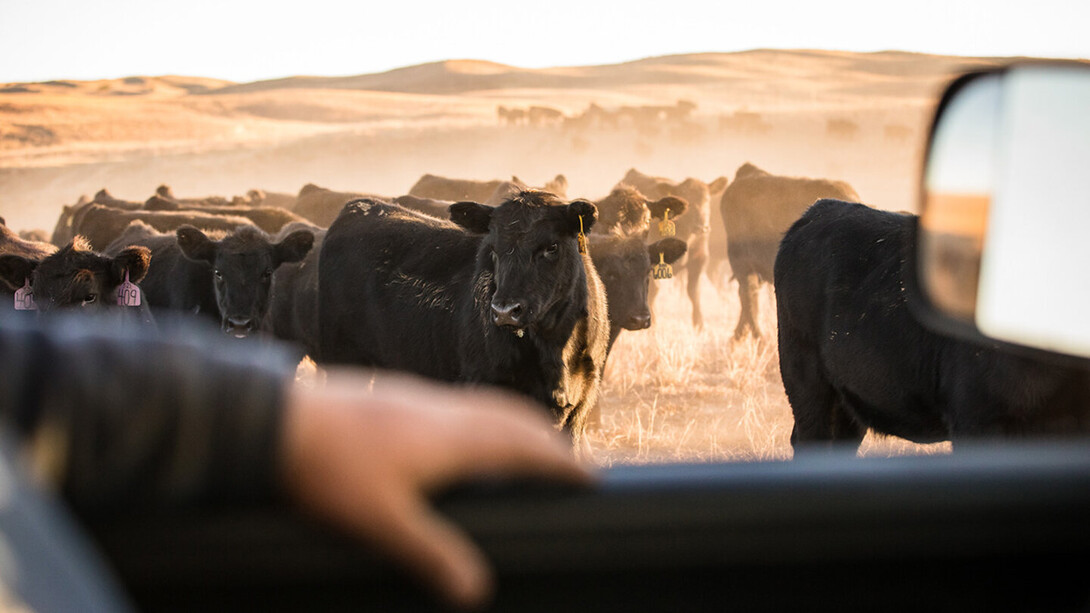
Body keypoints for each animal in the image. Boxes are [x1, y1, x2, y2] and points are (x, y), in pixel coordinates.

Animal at [318, 192, 609, 442]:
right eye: (493, 249)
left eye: (551, 247)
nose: (505, 310)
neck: (555, 350)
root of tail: (359, 207)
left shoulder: (580, 406)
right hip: (343, 363)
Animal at [615, 168, 727, 328]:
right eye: (688, 200)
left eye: (707, 200)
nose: (702, 226)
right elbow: (652, 291)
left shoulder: (699, 259)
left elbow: (694, 291)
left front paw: (699, 324)